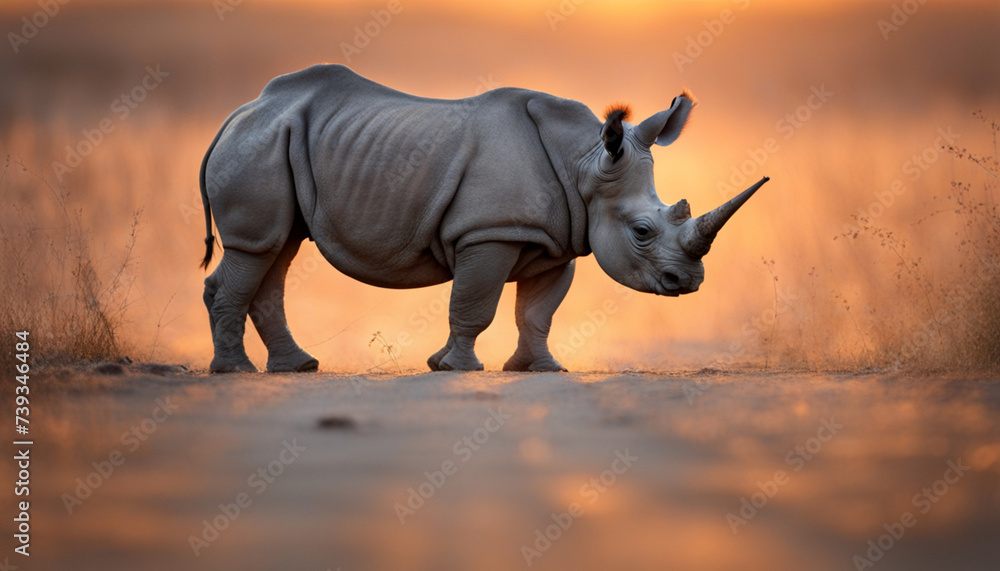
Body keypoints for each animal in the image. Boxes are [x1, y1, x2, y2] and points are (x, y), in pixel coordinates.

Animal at [198, 64, 767, 373]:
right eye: (642, 232)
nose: (686, 283)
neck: (584, 162)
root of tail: (241, 112)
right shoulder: (489, 232)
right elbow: (474, 303)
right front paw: (455, 368)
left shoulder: (558, 239)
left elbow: (537, 312)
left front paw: (541, 369)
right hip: (262, 142)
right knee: (257, 247)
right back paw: (234, 371)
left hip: (280, 140)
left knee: (277, 250)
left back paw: (297, 368)